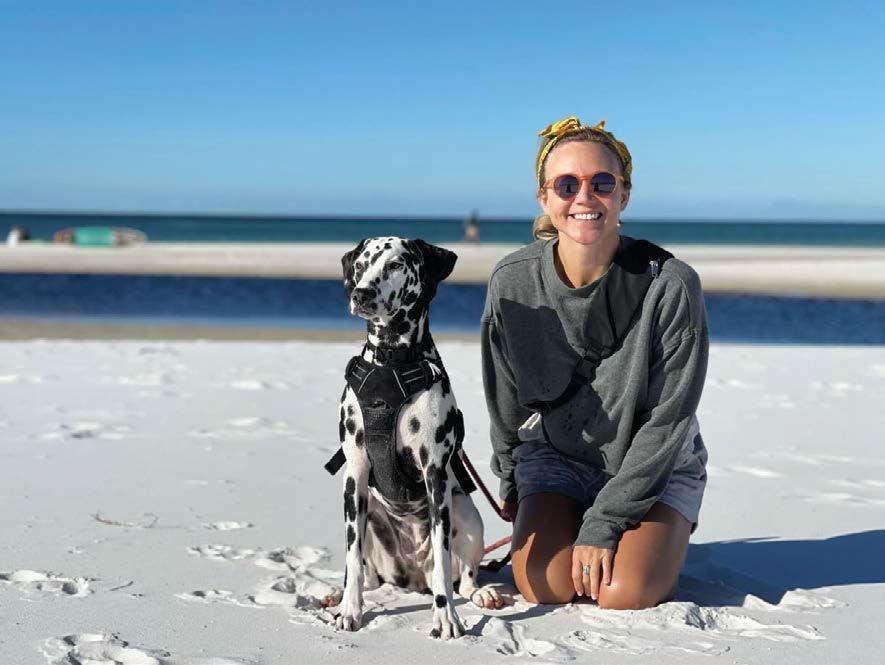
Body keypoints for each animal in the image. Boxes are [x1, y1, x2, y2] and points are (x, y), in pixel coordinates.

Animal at [324, 237, 505, 639]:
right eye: (360, 265)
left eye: (395, 265)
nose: (360, 293)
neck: (392, 361)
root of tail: (410, 577)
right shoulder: (354, 475)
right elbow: (351, 561)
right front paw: (349, 610)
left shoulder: (436, 476)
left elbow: (443, 560)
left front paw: (446, 618)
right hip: (368, 516)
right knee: (367, 575)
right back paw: (339, 593)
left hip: (467, 514)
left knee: (463, 579)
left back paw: (482, 594)